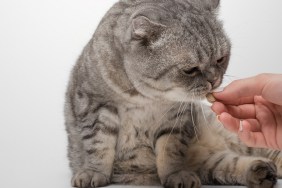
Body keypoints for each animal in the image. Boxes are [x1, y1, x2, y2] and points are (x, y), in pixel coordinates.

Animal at [65, 0, 282, 188]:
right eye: (190, 70)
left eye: (220, 59)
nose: (214, 80)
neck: (148, 98)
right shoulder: (94, 105)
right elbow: (98, 145)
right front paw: (94, 172)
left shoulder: (176, 118)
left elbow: (170, 150)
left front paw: (176, 174)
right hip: (210, 163)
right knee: (231, 163)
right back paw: (260, 172)